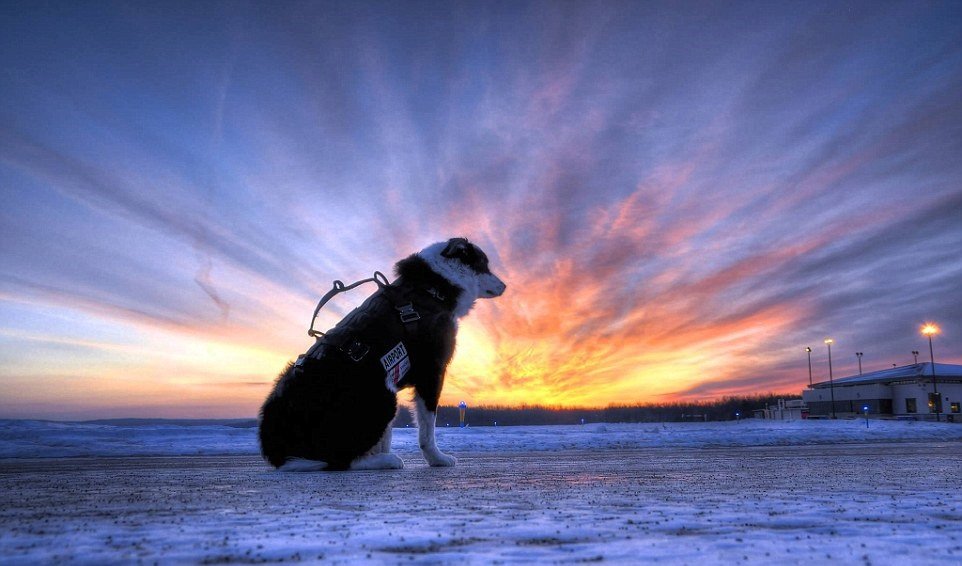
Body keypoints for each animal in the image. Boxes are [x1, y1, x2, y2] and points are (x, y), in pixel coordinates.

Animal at [258, 237, 506, 472]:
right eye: (484, 264)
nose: (504, 285)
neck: (431, 288)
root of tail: (275, 448)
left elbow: (386, 437)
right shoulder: (431, 371)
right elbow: (427, 429)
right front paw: (437, 459)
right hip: (382, 396)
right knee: (340, 460)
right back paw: (386, 461)